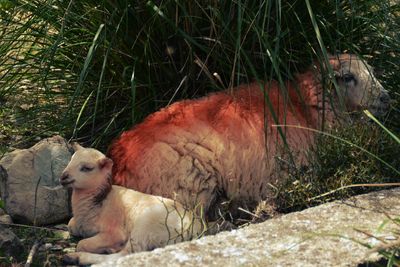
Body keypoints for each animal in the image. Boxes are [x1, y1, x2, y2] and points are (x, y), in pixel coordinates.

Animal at [59, 146, 203, 266]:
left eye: (87, 168)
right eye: (71, 160)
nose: (63, 177)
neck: (99, 203)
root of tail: (195, 229)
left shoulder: (115, 232)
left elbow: (82, 243)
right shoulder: (77, 223)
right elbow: (71, 225)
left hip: (145, 227)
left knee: (127, 254)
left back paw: (76, 257)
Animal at [108, 52, 390, 220]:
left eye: (372, 72)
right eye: (347, 77)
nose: (386, 97)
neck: (306, 105)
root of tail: (117, 160)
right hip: (189, 184)